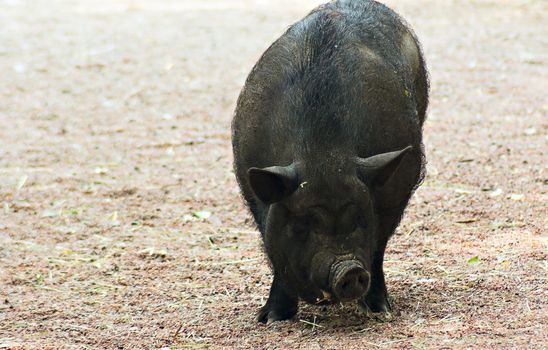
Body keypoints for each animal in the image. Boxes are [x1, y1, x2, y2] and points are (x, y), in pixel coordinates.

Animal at [231, 0, 428, 322]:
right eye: (302, 225)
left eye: (360, 218)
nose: (349, 270)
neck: (324, 155)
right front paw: (271, 319)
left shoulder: (393, 194)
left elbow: (377, 248)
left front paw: (380, 312)